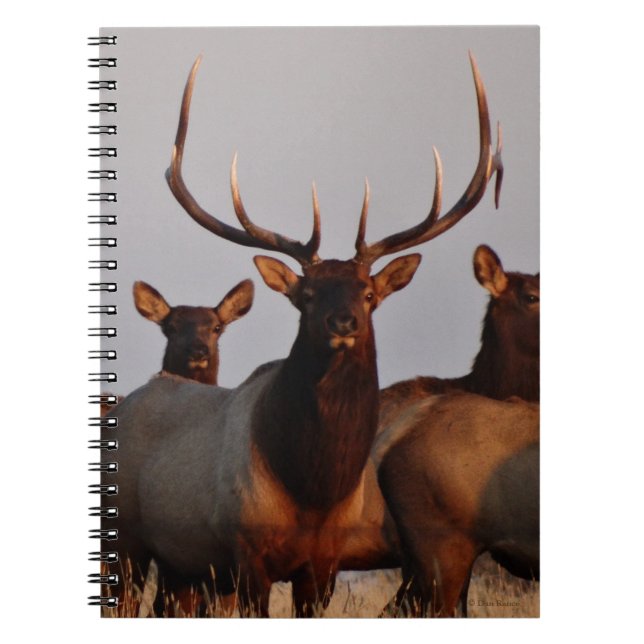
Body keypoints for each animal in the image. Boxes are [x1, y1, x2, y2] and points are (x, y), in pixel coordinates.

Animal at [103, 51, 501, 617]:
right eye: (307, 294)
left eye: (368, 293)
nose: (344, 322)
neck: (311, 491)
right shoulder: (247, 555)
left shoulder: (324, 563)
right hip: (129, 538)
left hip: (182, 563)